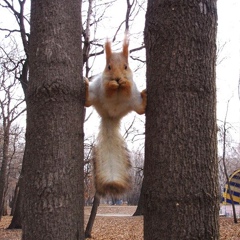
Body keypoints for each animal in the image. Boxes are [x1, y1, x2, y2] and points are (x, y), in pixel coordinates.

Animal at [85, 36, 147, 196]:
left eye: (126, 66)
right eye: (108, 67)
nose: (118, 78)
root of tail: (111, 116)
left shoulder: (131, 88)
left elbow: (128, 88)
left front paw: (124, 83)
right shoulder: (102, 84)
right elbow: (108, 90)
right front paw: (112, 85)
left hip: (133, 100)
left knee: (140, 110)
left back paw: (144, 95)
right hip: (95, 93)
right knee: (88, 102)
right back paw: (86, 85)